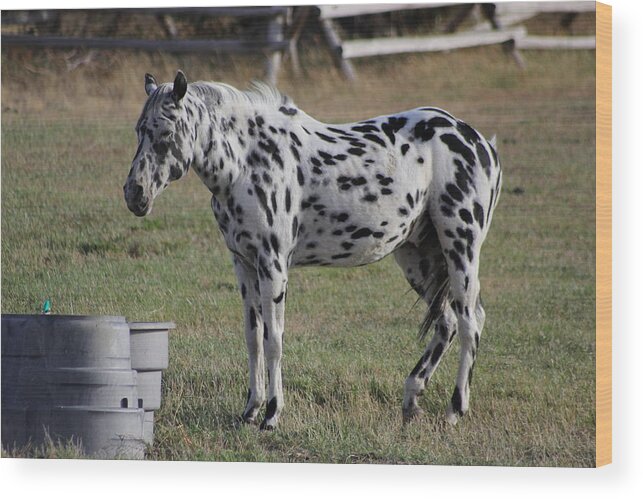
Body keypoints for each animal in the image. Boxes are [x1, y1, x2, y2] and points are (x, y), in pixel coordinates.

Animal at [122, 72, 504, 432]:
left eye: (165, 132)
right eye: (140, 130)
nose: (134, 194)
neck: (248, 162)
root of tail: (480, 144)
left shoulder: (273, 265)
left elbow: (273, 339)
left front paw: (271, 415)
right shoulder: (244, 264)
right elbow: (252, 339)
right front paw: (249, 411)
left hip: (460, 247)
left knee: (470, 322)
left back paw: (455, 411)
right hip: (417, 257)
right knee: (448, 322)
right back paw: (411, 400)